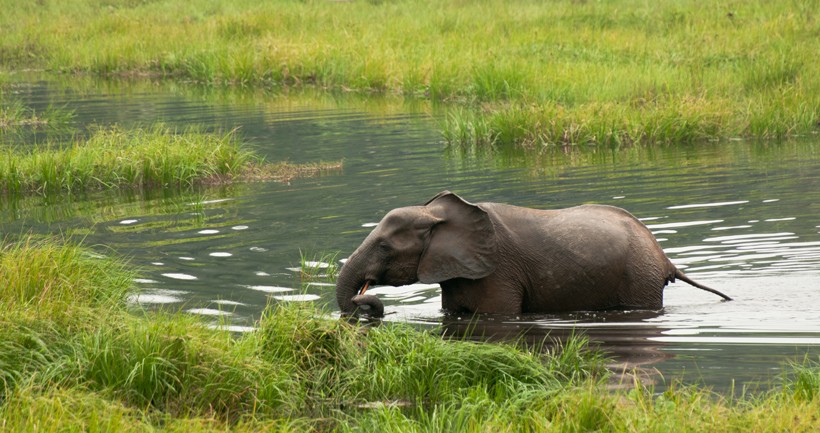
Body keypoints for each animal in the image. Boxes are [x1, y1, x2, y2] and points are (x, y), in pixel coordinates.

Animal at [336, 192, 732, 318]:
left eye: (385, 246)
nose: (364, 300)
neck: (435, 214)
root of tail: (663, 257)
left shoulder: (496, 272)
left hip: (639, 279)